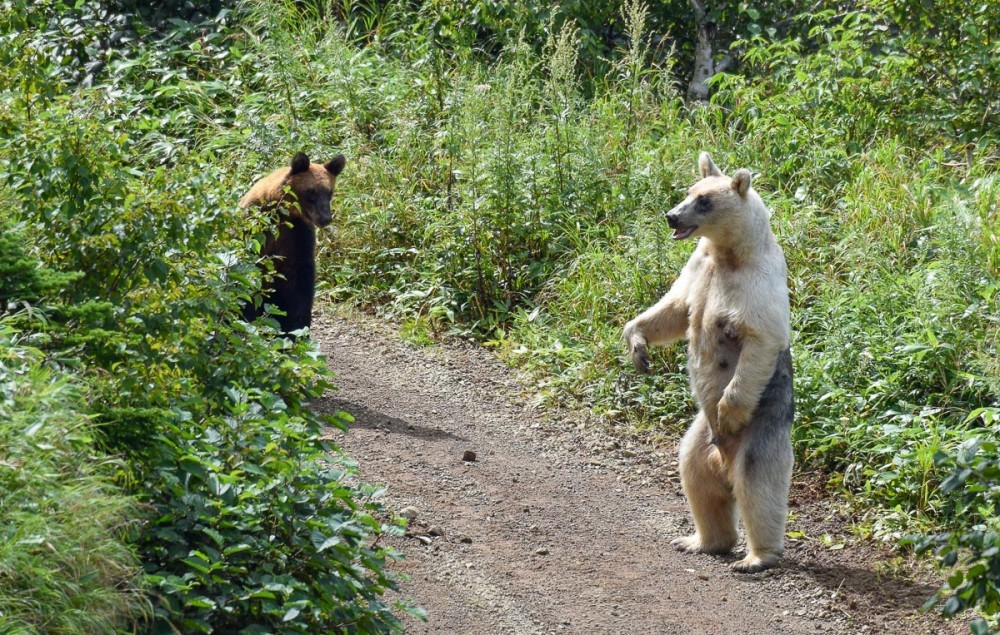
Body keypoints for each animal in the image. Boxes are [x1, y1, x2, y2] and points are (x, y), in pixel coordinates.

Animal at [239, 152, 346, 336]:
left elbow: (298, 282)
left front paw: (297, 328)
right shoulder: (256, 227)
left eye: (329, 192)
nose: (325, 218)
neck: (283, 212)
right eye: (311, 192)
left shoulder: (298, 236)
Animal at [624, 153, 796, 572]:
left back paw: (757, 556)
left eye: (705, 201)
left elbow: (760, 338)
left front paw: (729, 409)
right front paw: (638, 346)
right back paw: (699, 540)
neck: (729, 254)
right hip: (699, 435)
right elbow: (673, 308)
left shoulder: (756, 287)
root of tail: (723, 457)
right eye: (689, 191)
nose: (671, 216)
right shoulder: (699, 268)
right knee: (696, 477)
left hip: (763, 428)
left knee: (758, 485)